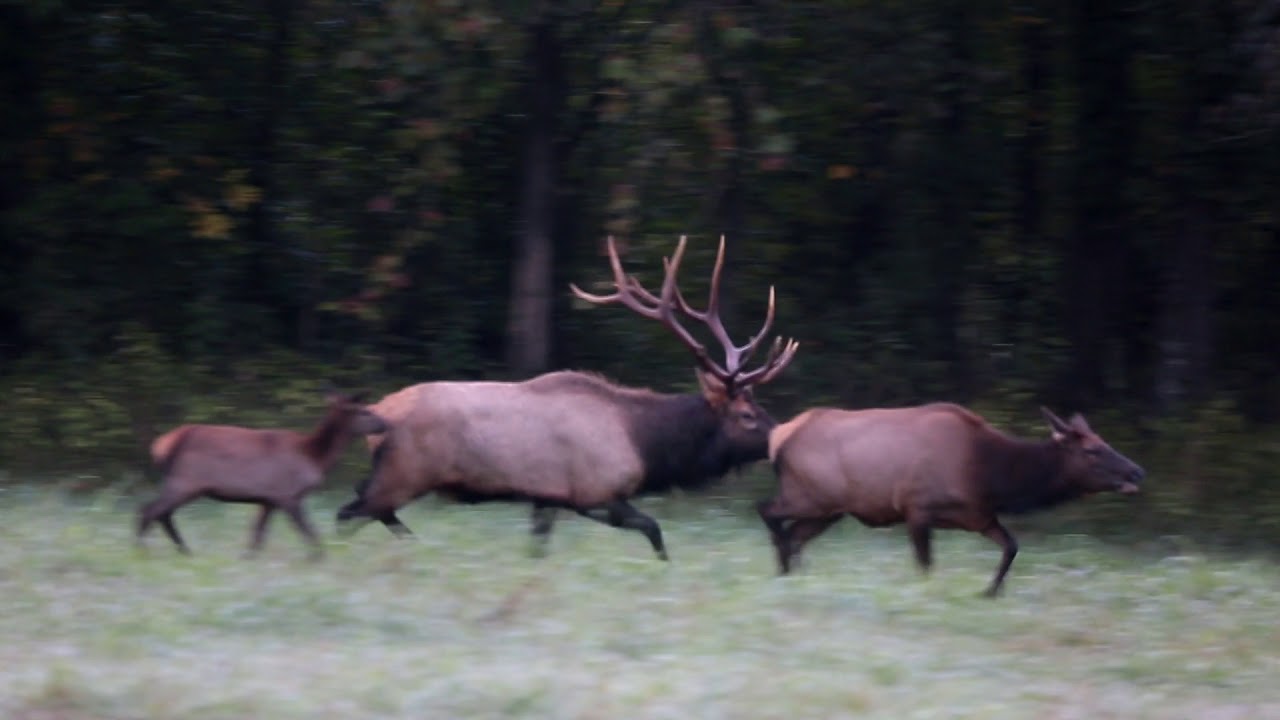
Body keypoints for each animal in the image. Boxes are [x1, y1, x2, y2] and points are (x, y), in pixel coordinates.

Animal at [138, 391, 387, 560]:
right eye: (364, 410)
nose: (385, 423)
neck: (314, 456)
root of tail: (161, 446)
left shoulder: (269, 499)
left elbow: (258, 535)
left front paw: (248, 558)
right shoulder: (288, 494)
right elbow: (307, 530)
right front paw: (318, 557)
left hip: (183, 483)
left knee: (161, 513)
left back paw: (183, 550)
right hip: (186, 480)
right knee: (150, 510)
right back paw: (141, 551)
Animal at [335, 235, 799, 560]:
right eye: (747, 414)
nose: (783, 437)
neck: (646, 445)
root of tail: (378, 413)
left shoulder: (548, 498)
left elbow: (537, 547)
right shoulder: (594, 492)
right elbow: (654, 530)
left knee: (365, 508)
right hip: (406, 471)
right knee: (350, 511)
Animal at [757, 403, 1145, 596]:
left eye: (1105, 442)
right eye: (1093, 451)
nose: (1137, 472)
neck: (989, 476)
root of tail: (778, 439)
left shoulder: (979, 516)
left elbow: (1011, 546)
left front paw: (990, 592)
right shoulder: (916, 508)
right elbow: (926, 564)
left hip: (828, 510)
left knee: (793, 535)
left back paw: (791, 574)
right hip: (809, 496)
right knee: (767, 511)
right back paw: (782, 567)